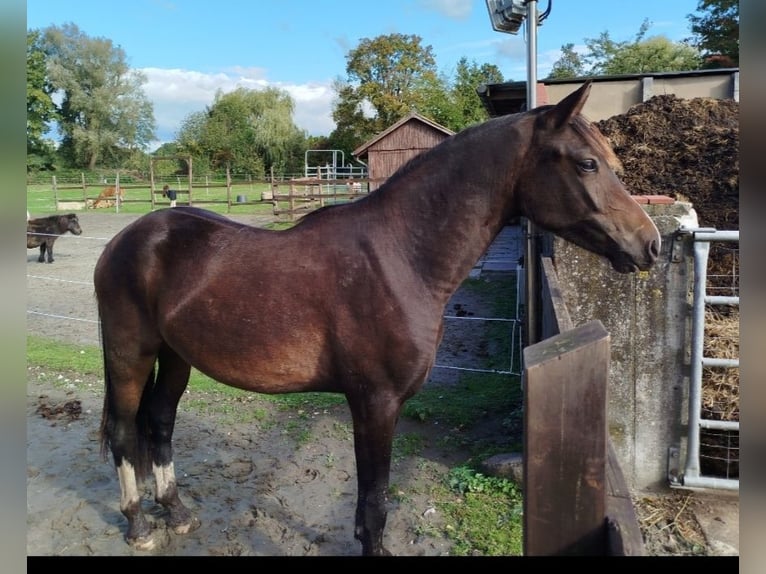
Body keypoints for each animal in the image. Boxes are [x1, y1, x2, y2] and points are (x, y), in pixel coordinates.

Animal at [94, 82, 660, 560]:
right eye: (587, 164)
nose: (650, 244)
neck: (400, 257)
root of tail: (127, 239)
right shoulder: (375, 403)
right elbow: (375, 500)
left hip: (176, 356)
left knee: (159, 422)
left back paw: (177, 513)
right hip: (130, 354)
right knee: (124, 430)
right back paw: (138, 524)